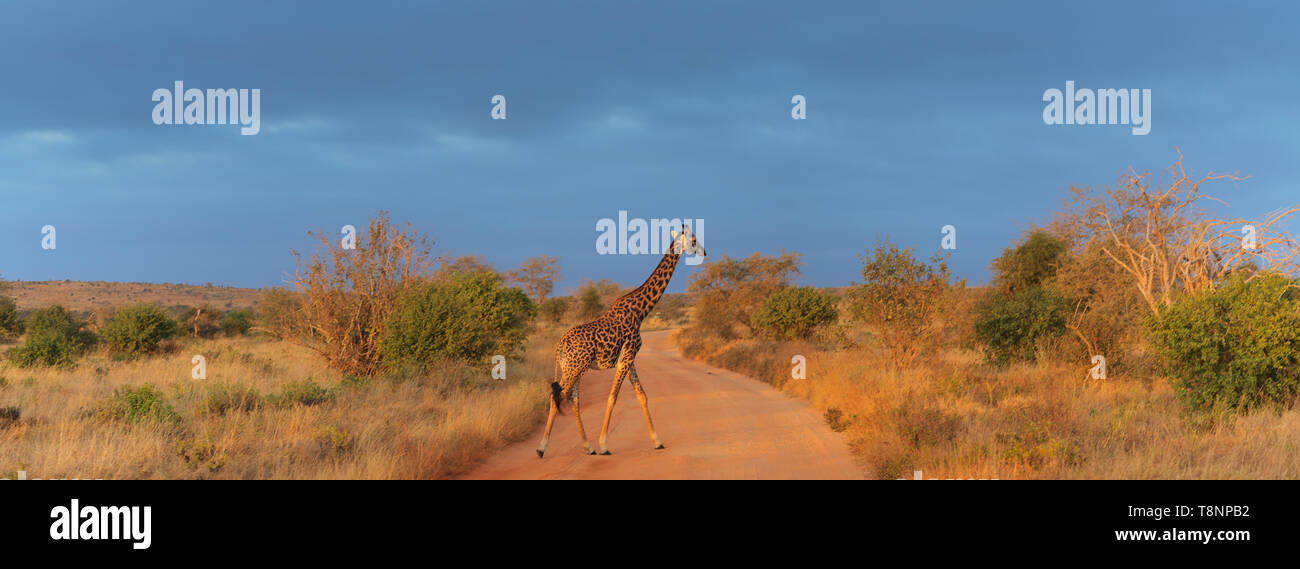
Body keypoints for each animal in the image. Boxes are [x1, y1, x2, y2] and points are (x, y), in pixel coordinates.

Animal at [535, 223, 707, 457]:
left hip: (573, 368)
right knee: (558, 396)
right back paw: (542, 448)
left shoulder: (630, 359)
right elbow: (612, 397)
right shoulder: (626, 357)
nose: (704, 252)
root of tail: (560, 345)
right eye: (694, 240)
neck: (640, 311)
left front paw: (657, 441)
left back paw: (587, 447)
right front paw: (604, 445)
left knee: (572, 399)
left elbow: (642, 395)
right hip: (574, 367)